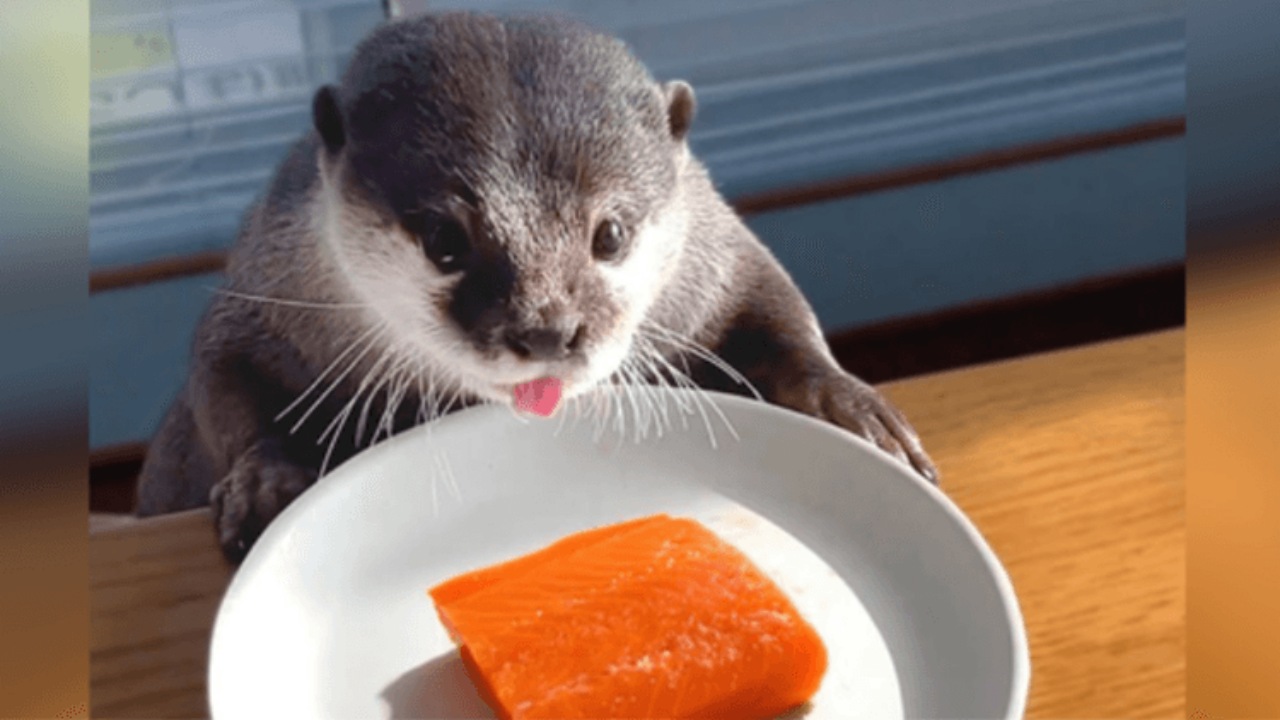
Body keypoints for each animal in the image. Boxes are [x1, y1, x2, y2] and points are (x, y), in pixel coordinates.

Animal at [135, 9, 942, 561]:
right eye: (444, 241)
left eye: (611, 233)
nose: (547, 330)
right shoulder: (264, 282)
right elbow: (222, 373)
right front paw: (266, 480)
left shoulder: (713, 251)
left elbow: (774, 304)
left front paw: (851, 409)